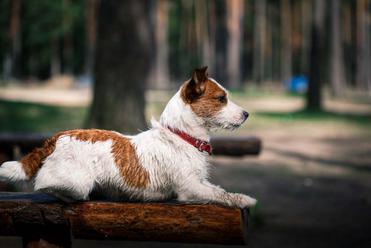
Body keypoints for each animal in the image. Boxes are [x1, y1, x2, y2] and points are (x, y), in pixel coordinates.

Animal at [0, 67, 258, 207]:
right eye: (221, 99)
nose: (247, 114)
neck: (181, 135)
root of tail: (56, 137)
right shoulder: (190, 187)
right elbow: (219, 194)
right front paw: (244, 199)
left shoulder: (199, 181)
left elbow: (217, 188)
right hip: (77, 182)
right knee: (44, 184)